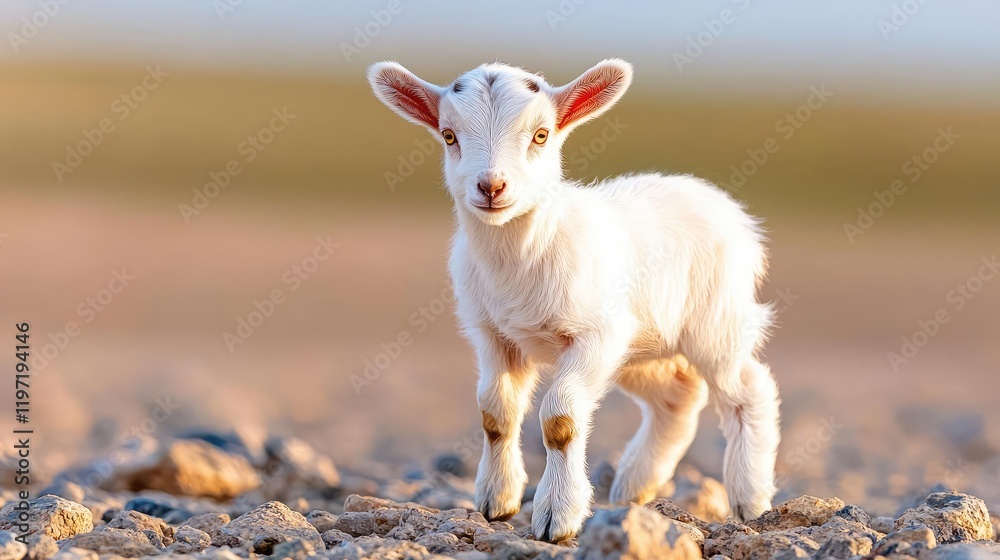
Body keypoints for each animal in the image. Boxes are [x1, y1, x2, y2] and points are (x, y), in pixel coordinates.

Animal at [368, 58, 781, 542]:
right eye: (449, 135)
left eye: (541, 135)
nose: (491, 187)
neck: (523, 253)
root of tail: (716, 199)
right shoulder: (492, 334)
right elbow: (494, 412)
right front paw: (497, 501)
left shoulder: (596, 334)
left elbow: (559, 419)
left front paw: (556, 516)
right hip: (642, 346)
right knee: (678, 396)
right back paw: (634, 486)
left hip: (715, 321)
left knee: (747, 390)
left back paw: (749, 497)